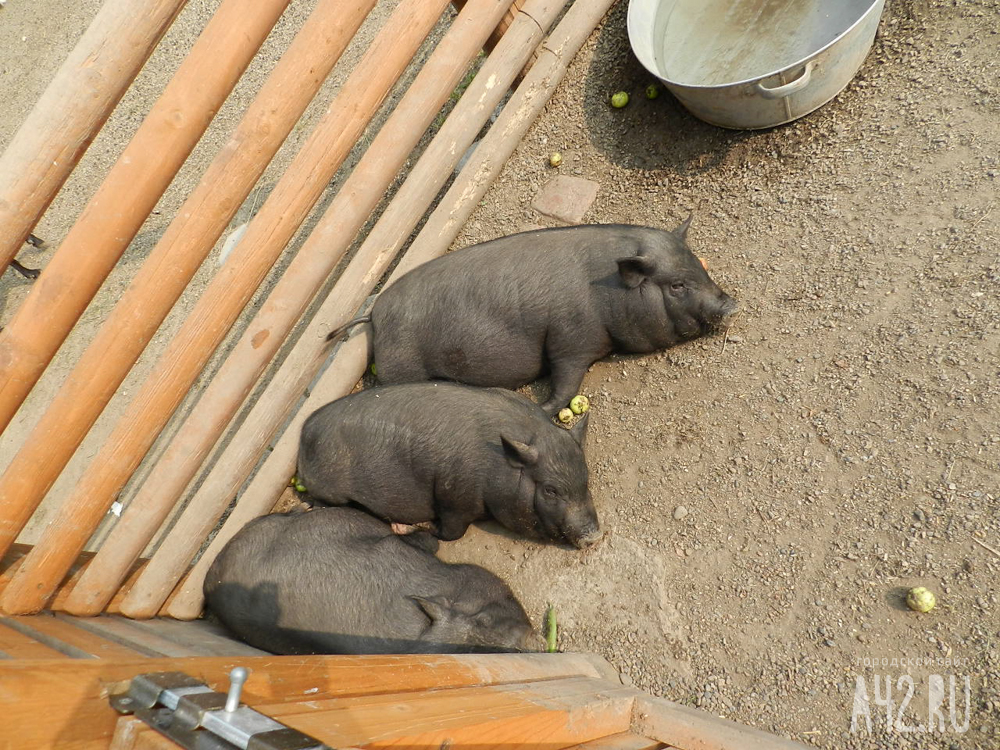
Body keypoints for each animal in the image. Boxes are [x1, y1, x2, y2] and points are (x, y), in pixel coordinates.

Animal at [292, 384, 596, 548]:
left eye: (586, 477)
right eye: (550, 490)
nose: (594, 535)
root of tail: (305, 434)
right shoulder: (454, 497)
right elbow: (450, 533)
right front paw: (416, 526)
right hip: (332, 492)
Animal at [326, 220, 736, 414]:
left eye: (700, 266)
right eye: (677, 285)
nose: (731, 304)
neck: (605, 292)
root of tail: (373, 317)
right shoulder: (570, 340)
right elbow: (565, 384)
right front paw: (542, 409)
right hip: (403, 367)